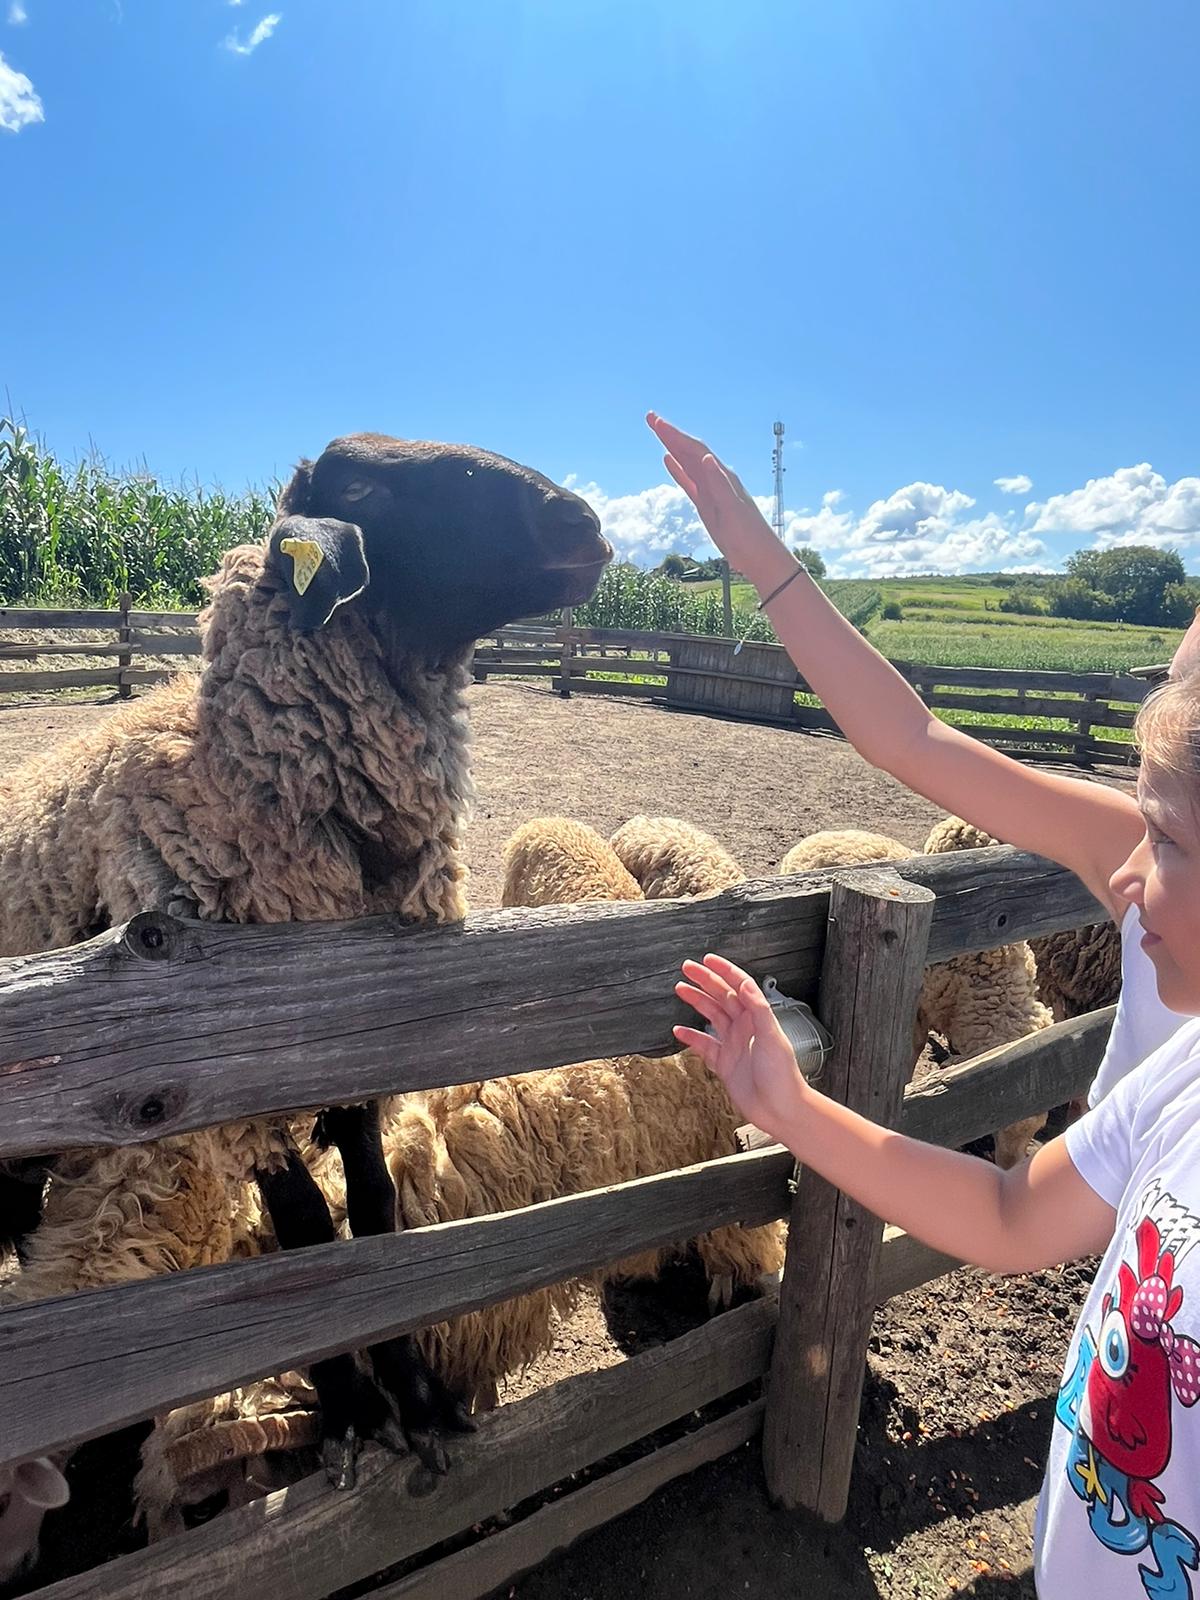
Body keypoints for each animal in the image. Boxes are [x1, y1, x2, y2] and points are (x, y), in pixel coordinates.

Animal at [0, 432, 611, 1489]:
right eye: (368, 485)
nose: (585, 522)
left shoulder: (360, 1059)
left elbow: (373, 1211)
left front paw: (417, 1398)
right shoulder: (236, 1096)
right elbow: (303, 1238)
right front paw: (353, 1413)